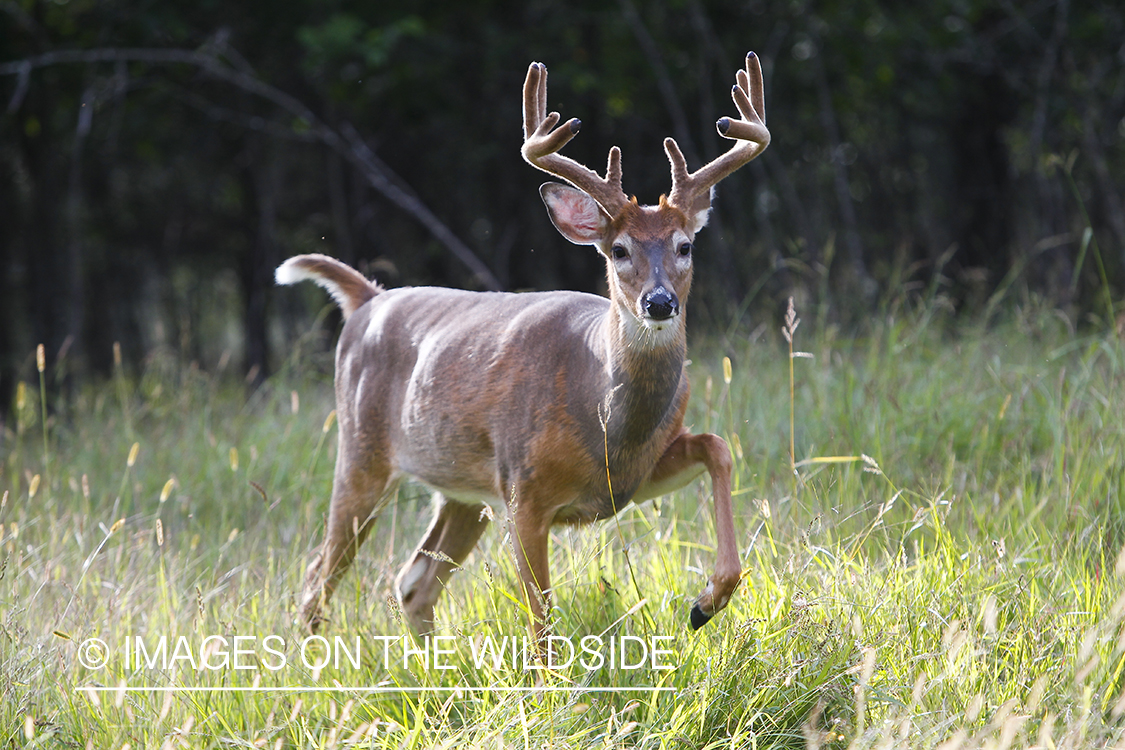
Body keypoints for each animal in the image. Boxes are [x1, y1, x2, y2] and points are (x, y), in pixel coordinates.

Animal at [276, 52, 770, 644]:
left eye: (685, 246)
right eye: (619, 249)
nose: (659, 302)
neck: (605, 420)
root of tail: (367, 299)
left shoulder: (633, 478)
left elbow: (717, 446)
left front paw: (705, 603)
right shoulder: (523, 491)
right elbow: (542, 625)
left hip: (461, 491)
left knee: (413, 582)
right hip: (362, 453)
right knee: (316, 579)